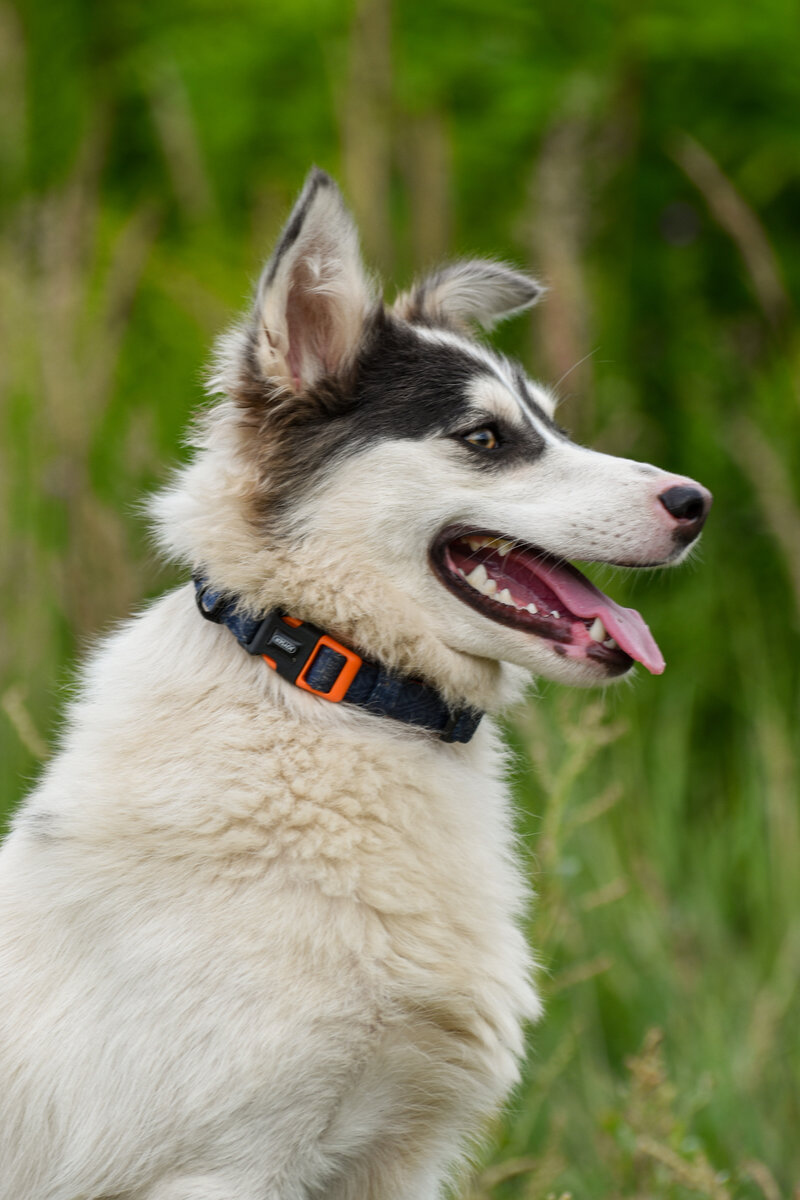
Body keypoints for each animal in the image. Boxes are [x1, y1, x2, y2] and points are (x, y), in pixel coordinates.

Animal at [1, 171, 714, 1200]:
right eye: (485, 437)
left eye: (551, 423)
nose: (698, 504)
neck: (327, 681)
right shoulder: (221, 1165)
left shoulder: (394, 1161)